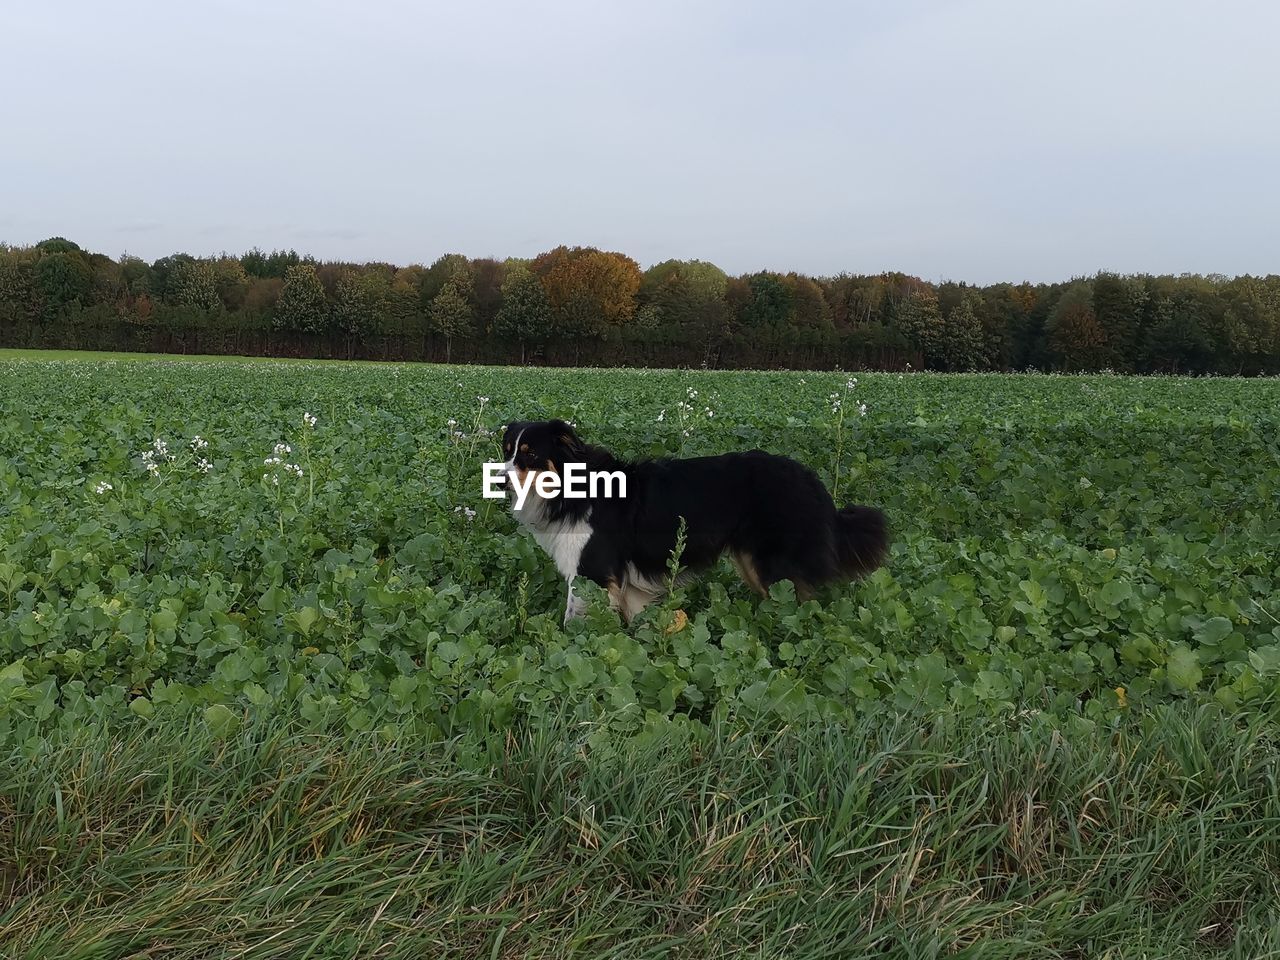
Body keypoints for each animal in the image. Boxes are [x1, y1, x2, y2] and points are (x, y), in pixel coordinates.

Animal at [499, 419, 890, 624]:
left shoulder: (593, 573)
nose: (499, 480)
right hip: (751, 563)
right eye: (507, 451)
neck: (572, 489)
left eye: (530, 454)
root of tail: (813, 481)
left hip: (772, 566)